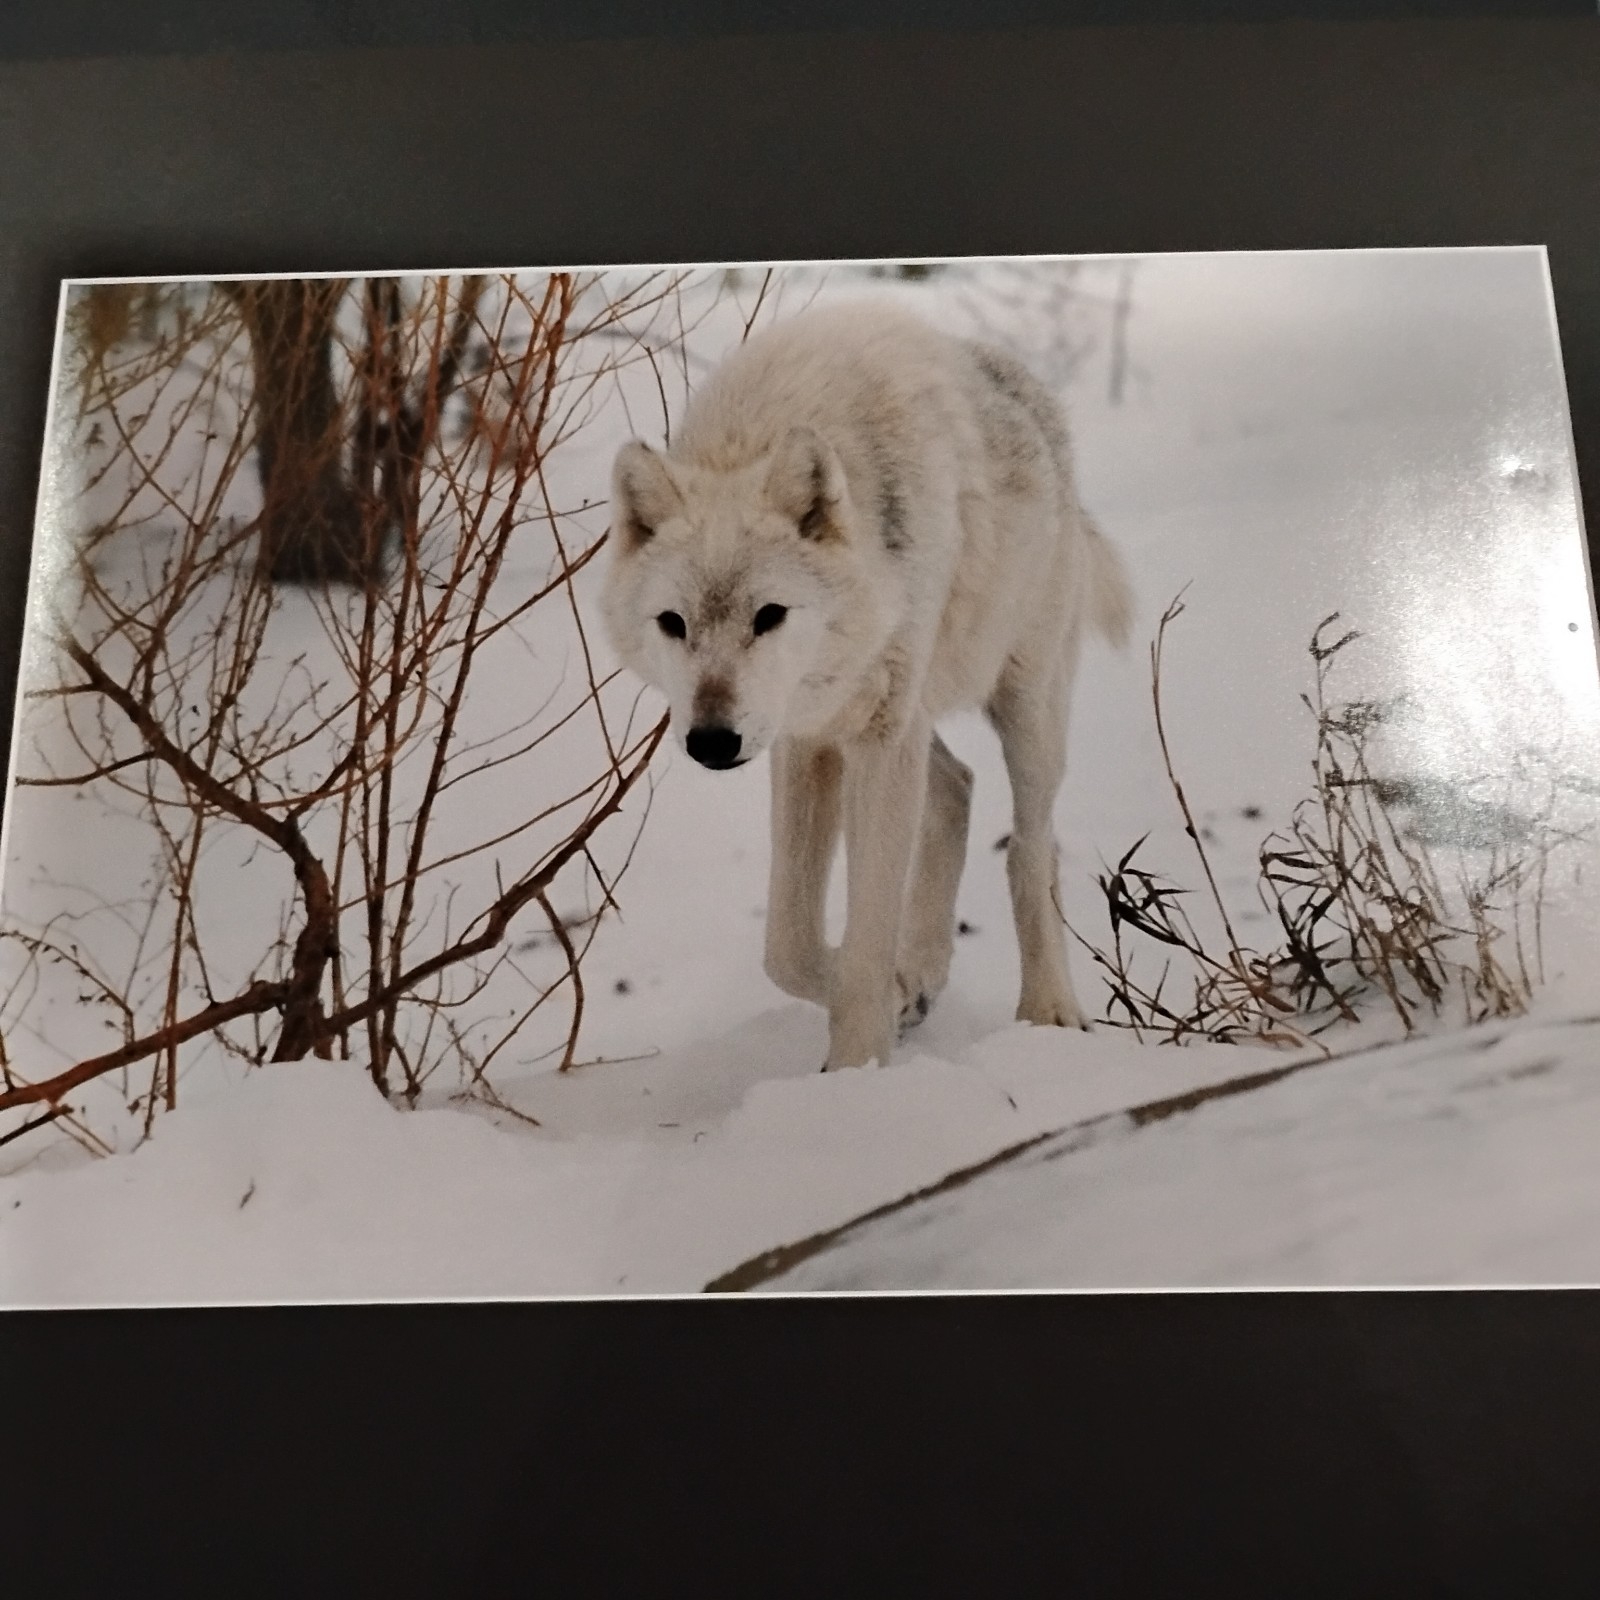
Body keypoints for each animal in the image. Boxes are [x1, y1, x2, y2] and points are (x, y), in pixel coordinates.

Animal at [600, 298, 1131, 1071]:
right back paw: (927, 972)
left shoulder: (873, 739)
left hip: (1025, 710)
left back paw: (1049, 1011)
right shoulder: (808, 737)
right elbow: (788, 946)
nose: (712, 742)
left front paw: (856, 1071)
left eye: (769, 616)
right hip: (910, 720)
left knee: (1034, 850)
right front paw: (898, 997)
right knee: (958, 788)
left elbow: (864, 938)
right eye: (673, 623)